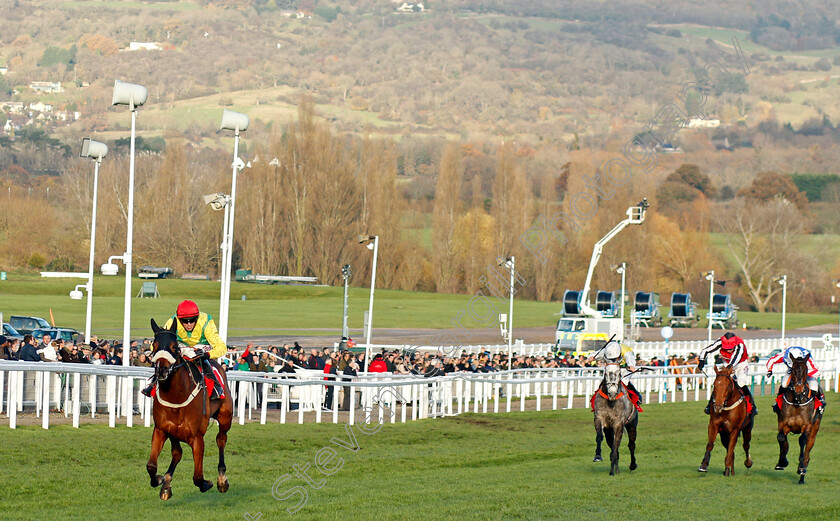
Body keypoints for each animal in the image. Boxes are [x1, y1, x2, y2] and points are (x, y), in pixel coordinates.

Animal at [147, 316, 233, 500]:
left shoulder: (197, 437)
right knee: (177, 452)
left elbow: (198, 477)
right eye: (154, 345)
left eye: (174, 346)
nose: (162, 371)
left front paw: (208, 483)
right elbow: (151, 465)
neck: (176, 396)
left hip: (225, 418)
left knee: (221, 439)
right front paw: (160, 479)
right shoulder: (161, 430)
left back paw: (222, 479)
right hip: (173, 433)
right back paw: (166, 483)